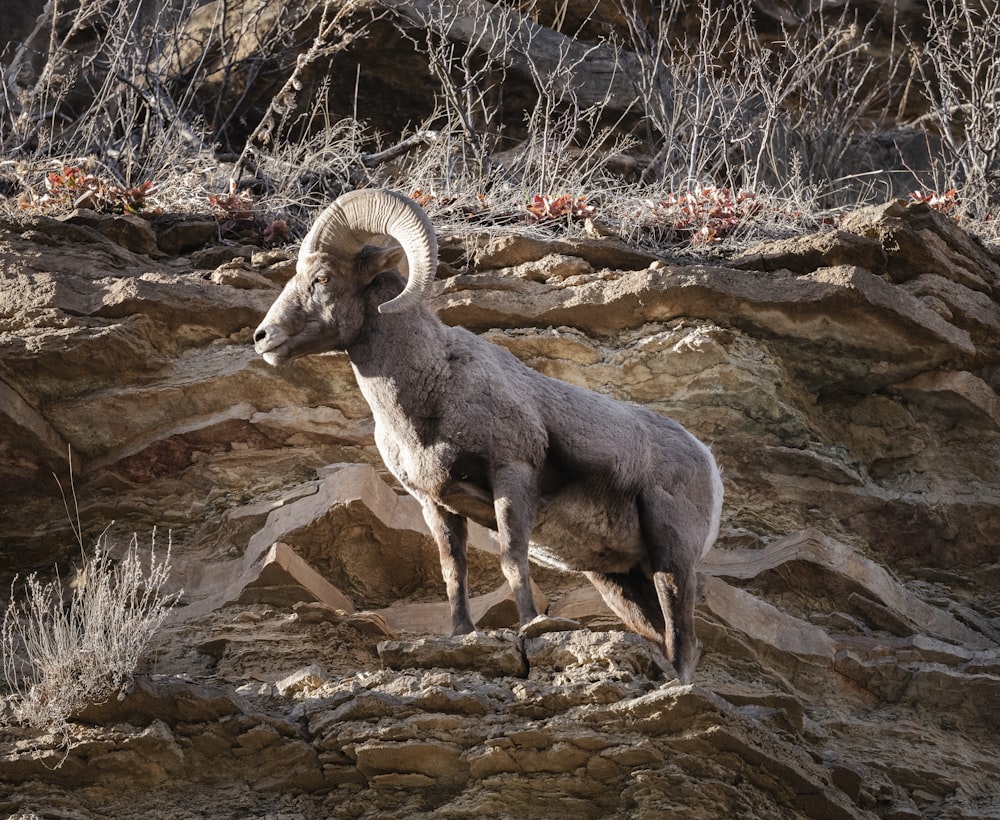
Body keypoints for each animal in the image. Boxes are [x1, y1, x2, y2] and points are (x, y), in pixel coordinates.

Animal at [254, 189, 724, 684]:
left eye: (323, 277)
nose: (263, 338)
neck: (432, 390)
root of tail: (707, 462)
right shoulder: (436, 503)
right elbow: (452, 571)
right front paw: (462, 634)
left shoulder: (511, 474)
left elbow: (512, 558)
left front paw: (531, 624)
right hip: (618, 580)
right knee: (663, 634)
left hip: (671, 556)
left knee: (682, 637)